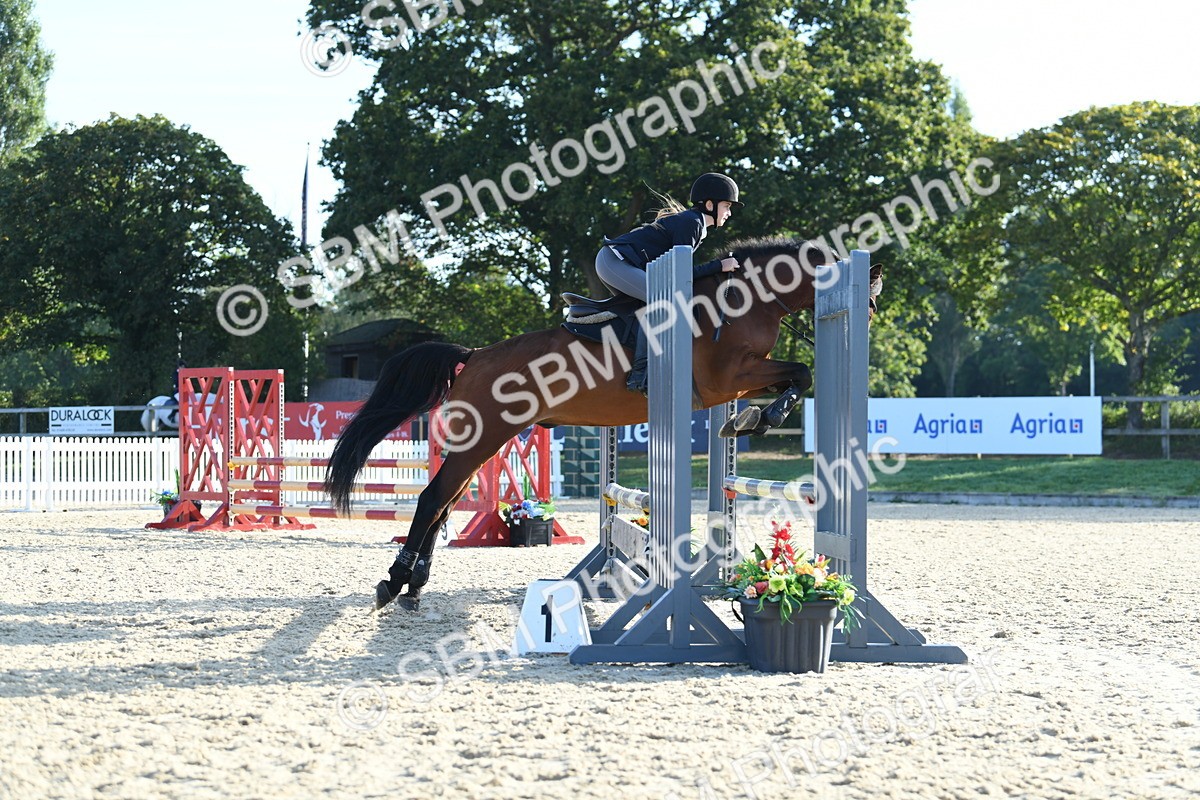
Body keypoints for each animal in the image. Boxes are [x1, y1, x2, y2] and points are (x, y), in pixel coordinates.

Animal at [324, 237, 883, 610]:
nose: (870, 318)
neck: (745, 298)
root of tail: (474, 354)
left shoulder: (739, 380)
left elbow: (795, 375)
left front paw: (751, 420)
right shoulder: (729, 377)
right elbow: (800, 371)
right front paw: (763, 417)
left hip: (484, 442)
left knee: (443, 503)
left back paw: (414, 586)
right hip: (484, 437)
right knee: (431, 498)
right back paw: (394, 583)